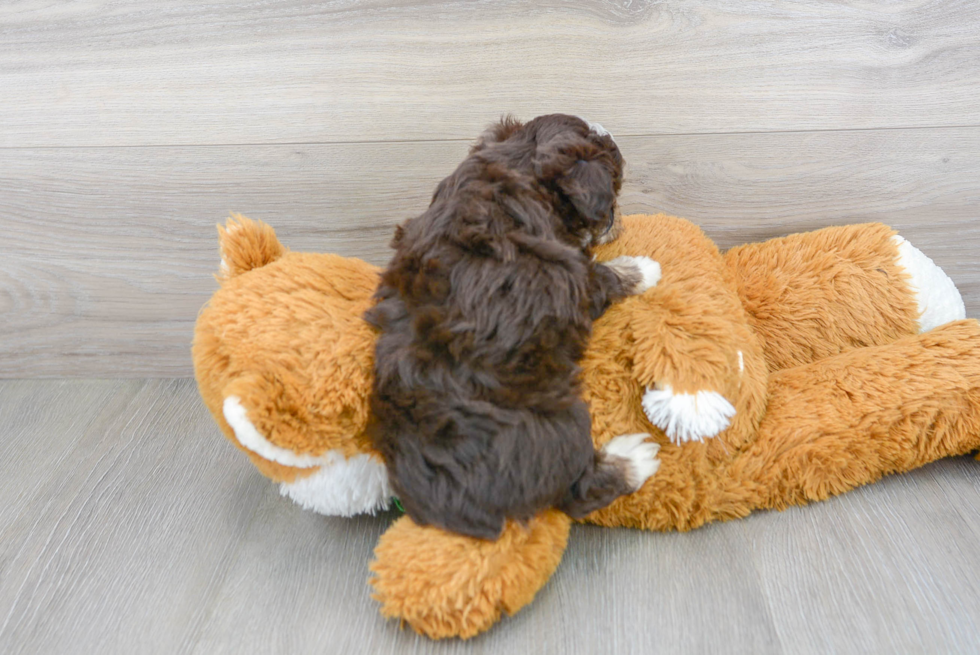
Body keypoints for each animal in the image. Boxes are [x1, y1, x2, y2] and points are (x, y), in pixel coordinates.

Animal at [366, 115, 660, 540]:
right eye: (616, 188)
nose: (616, 221)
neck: (518, 169)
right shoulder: (576, 281)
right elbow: (603, 275)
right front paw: (641, 269)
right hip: (554, 422)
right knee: (573, 493)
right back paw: (634, 458)